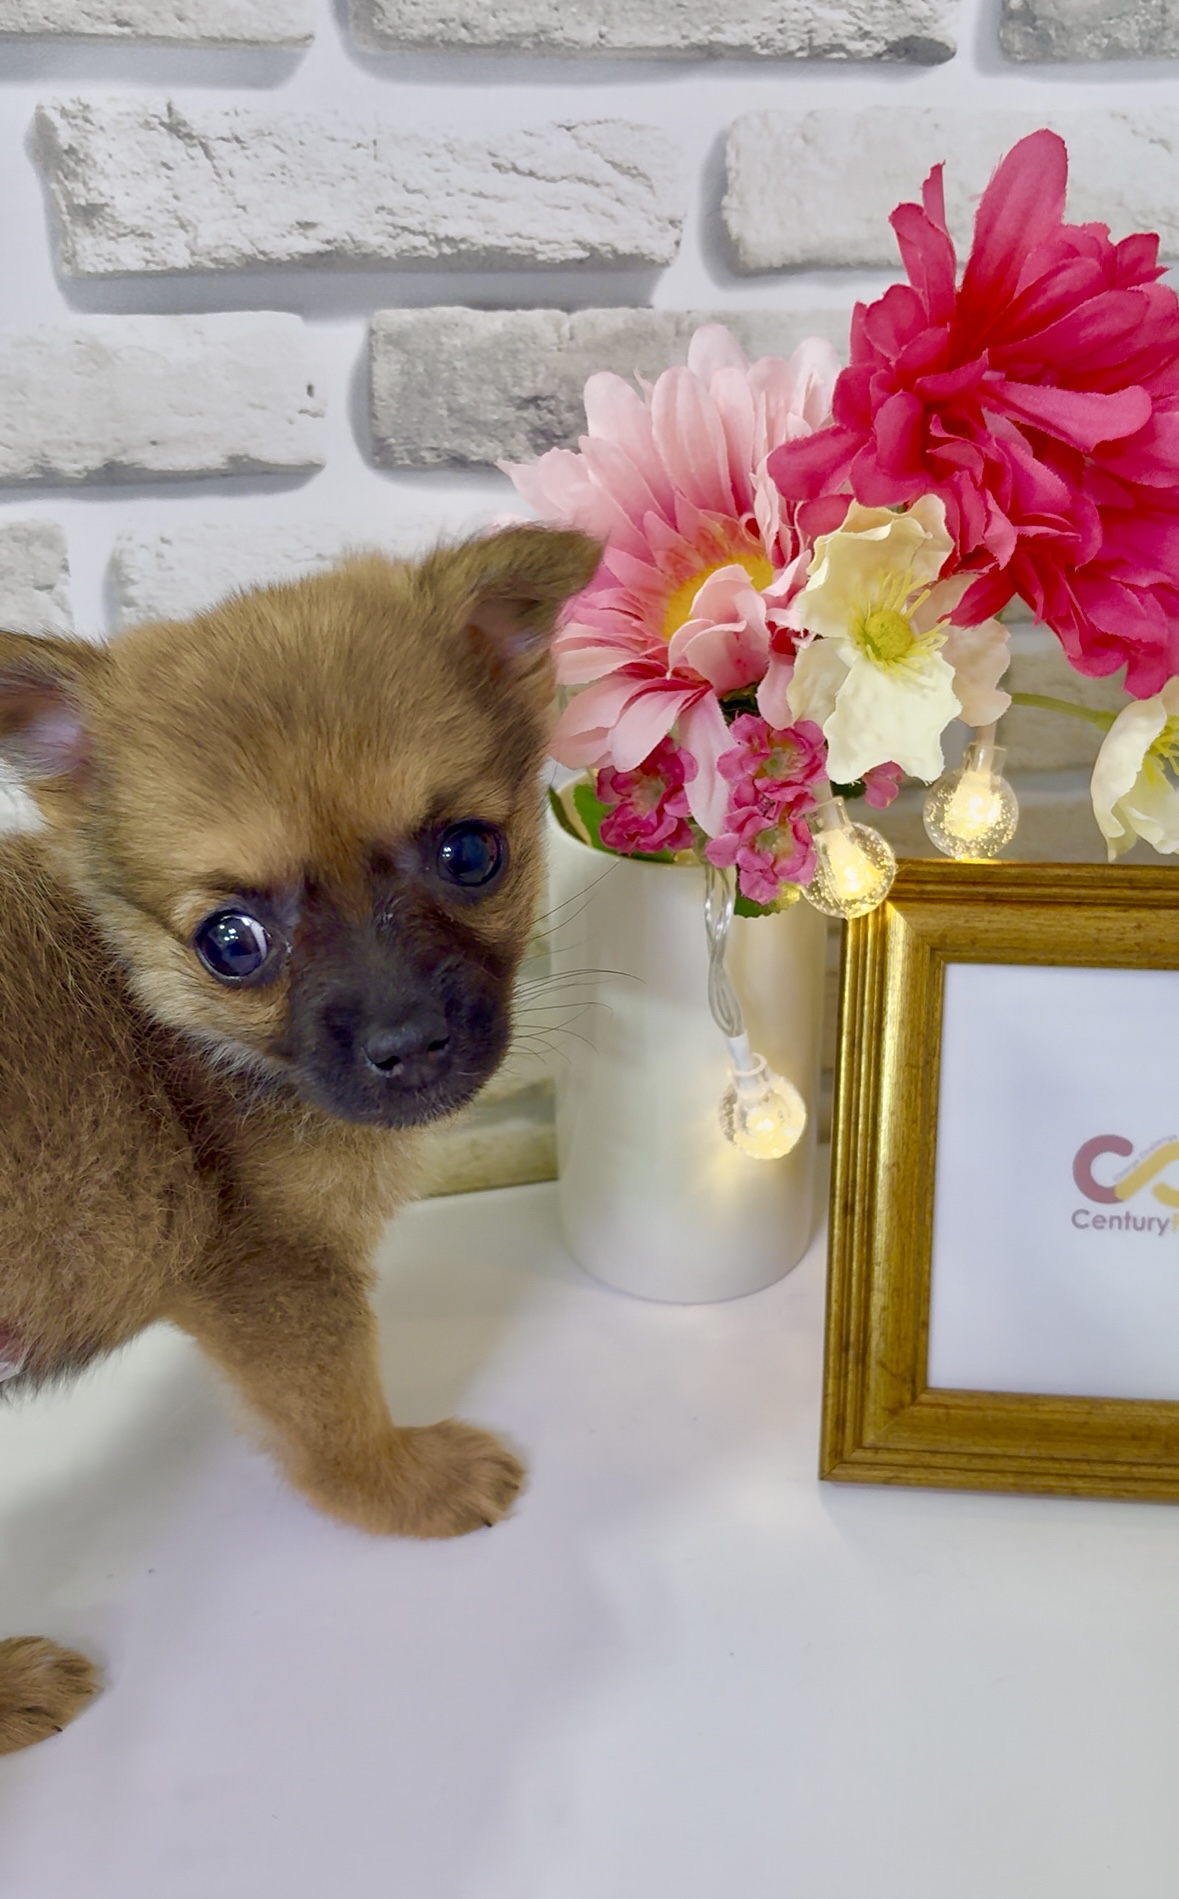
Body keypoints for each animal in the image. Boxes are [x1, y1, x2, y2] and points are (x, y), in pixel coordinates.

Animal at [0, 523, 600, 1755]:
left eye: (471, 854)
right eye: (231, 941)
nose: (406, 1043)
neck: (163, 1024)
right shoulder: (273, 1279)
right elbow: (335, 1419)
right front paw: (409, 1488)